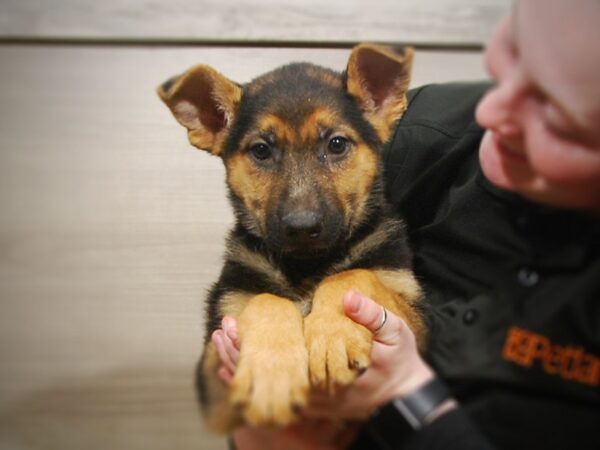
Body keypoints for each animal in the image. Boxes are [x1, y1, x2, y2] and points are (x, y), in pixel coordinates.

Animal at [157, 44, 424, 432]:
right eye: (261, 150)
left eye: (337, 144)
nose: (302, 227)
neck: (307, 266)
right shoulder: (214, 377)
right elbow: (266, 300)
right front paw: (271, 374)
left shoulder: (418, 324)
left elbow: (352, 274)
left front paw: (335, 335)